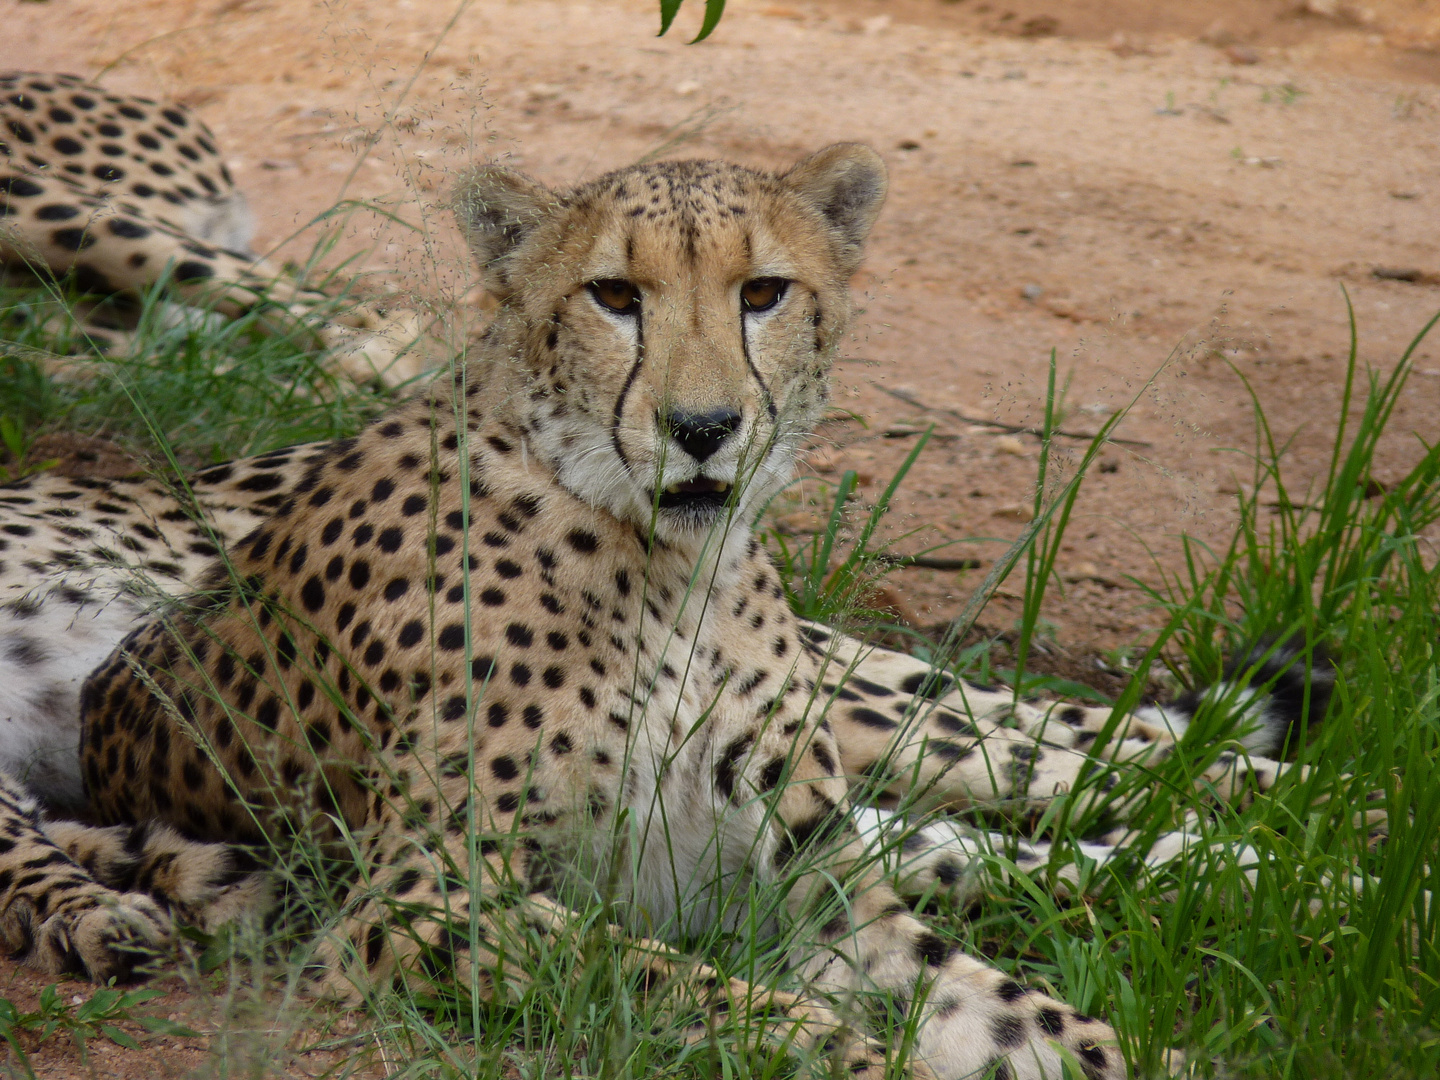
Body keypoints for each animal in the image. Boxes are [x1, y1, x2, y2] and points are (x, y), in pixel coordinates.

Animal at [0, 146, 1324, 1080]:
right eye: (614, 296)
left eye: (766, 293)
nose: (702, 428)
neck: (672, 572)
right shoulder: (427, 906)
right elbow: (705, 992)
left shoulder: (826, 900)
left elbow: (1032, 1016)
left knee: (1031, 755)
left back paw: (1319, 845)